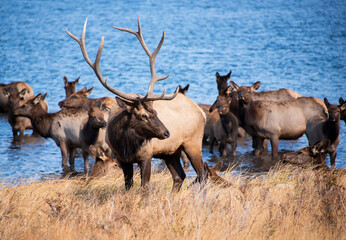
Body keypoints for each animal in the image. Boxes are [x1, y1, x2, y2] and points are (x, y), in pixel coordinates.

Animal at [67, 17, 207, 190]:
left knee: (202, 174)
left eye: (156, 112)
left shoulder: (146, 155)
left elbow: (145, 186)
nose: (166, 133)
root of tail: (202, 112)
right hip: (170, 152)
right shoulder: (122, 159)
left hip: (193, 143)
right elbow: (128, 185)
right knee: (179, 176)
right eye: (144, 115)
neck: (125, 144)